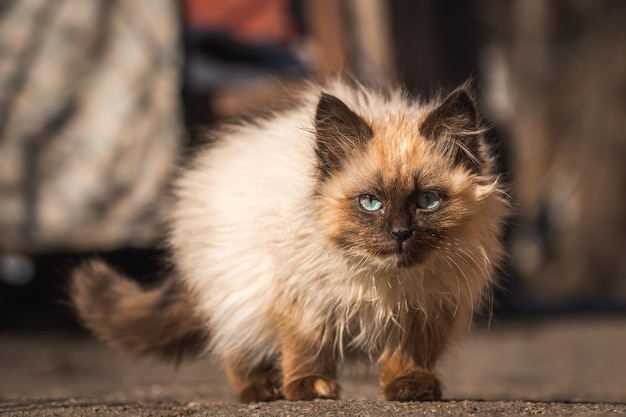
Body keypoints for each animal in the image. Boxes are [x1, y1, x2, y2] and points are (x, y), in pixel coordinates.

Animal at [69, 78, 508, 400]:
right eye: (370, 203)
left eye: (427, 201)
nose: (400, 233)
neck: (385, 281)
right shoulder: (304, 298)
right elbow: (306, 347)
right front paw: (309, 387)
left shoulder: (426, 306)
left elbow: (410, 352)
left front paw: (409, 386)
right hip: (240, 288)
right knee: (237, 348)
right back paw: (263, 389)